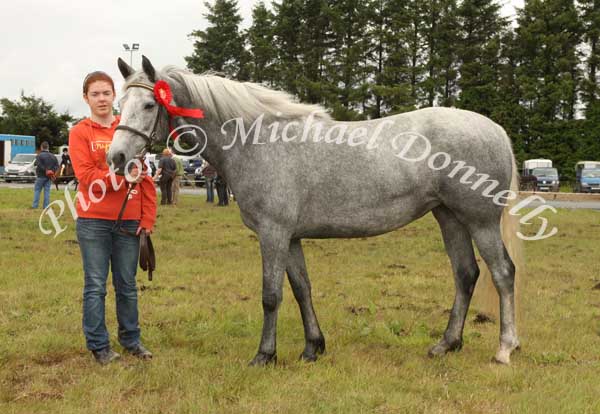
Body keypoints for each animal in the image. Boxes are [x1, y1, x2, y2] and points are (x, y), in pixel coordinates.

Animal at [110, 57, 524, 366]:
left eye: (149, 105)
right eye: (118, 106)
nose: (116, 157)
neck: (257, 142)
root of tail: (496, 129)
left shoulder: (273, 233)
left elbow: (271, 295)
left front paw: (265, 355)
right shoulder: (290, 237)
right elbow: (301, 289)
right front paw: (313, 348)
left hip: (480, 221)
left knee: (502, 273)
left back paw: (505, 348)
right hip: (449, 217)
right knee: (466, 274)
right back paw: (446, 344)